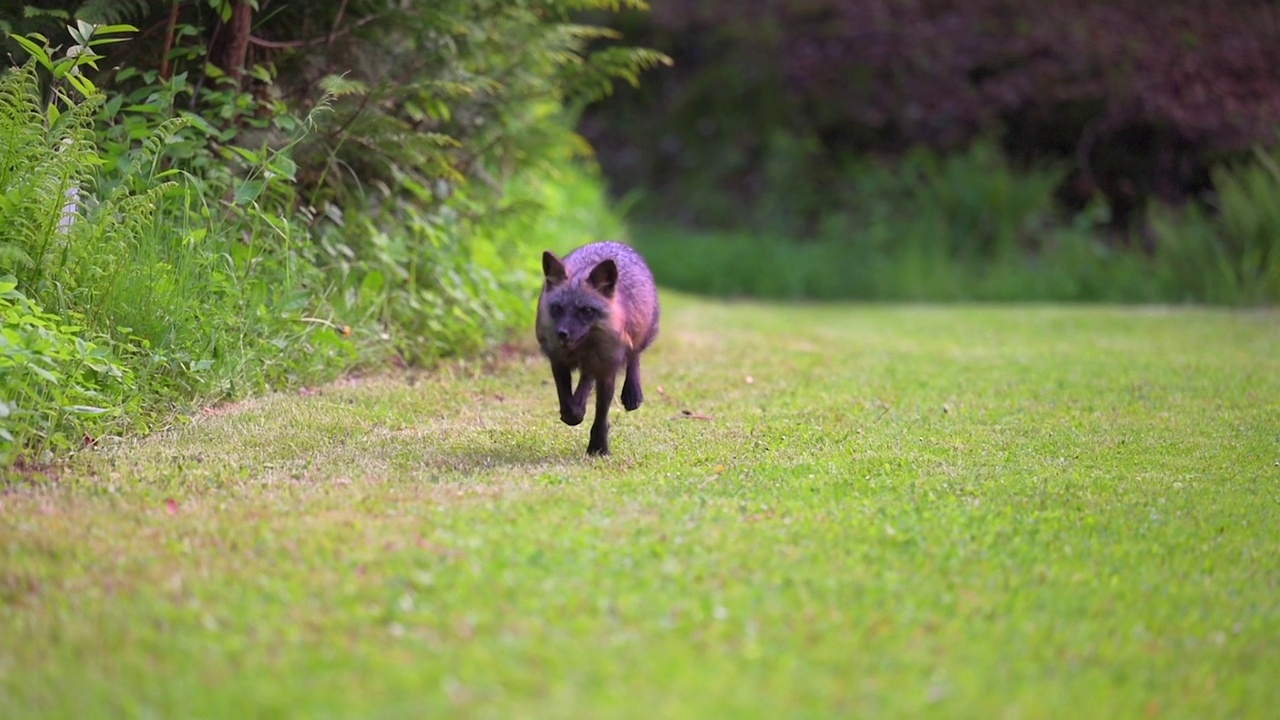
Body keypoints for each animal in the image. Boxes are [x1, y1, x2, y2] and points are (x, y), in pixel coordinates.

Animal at [537, 240, 665, 453]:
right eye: (557, 309)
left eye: (586, 311)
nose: (562, 333)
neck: (582, 349)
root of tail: (614, 243)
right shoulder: (559, 361)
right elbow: (567, 401)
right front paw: (575, 413)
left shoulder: (607, 369)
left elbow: (601, 413)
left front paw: (598, 446)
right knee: (587, 379)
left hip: (639, 337)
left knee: (634, 358)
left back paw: (632, 392)